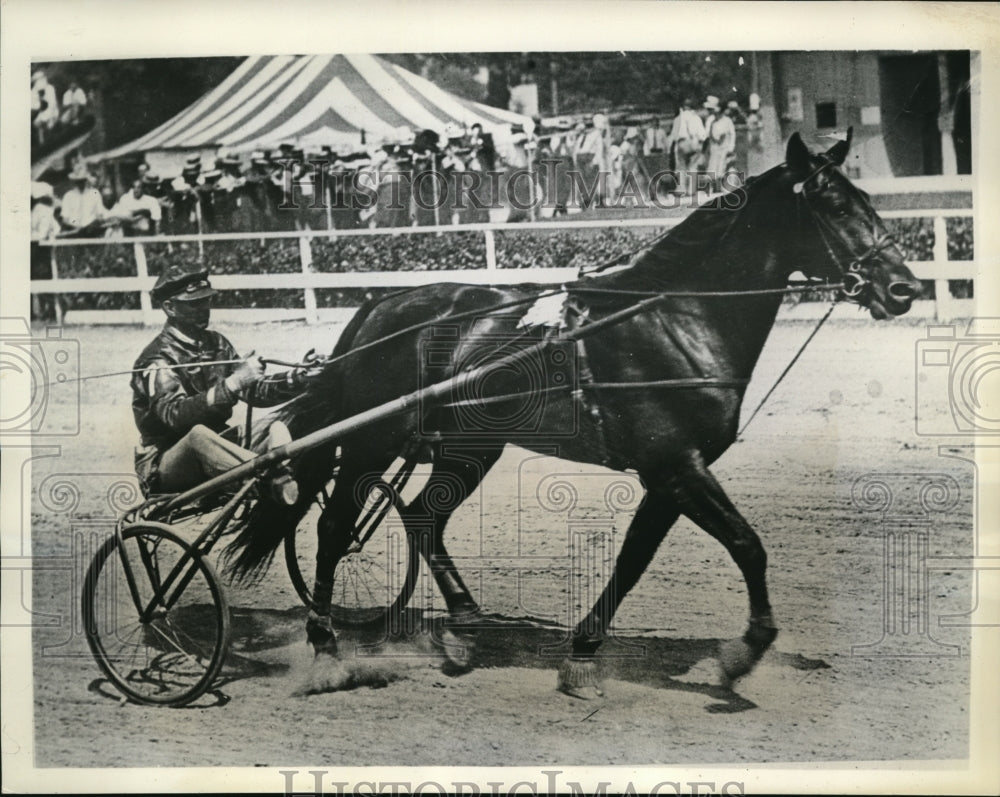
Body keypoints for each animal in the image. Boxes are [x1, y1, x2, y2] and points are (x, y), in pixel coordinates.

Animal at [225, 131, 920, 696]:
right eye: (835, 207)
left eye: (867, 200)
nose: (903, 288)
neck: (673, 321)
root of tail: (378, 309)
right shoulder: (675, 465)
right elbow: (747, 545)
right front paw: (743, 653)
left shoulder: (668, 474)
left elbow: (634, 560)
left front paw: (583, 654)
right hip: (376, 440)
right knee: (335, 528)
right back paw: (327, 649)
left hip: (471, 445)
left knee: (424, 517)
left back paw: (463, 628)